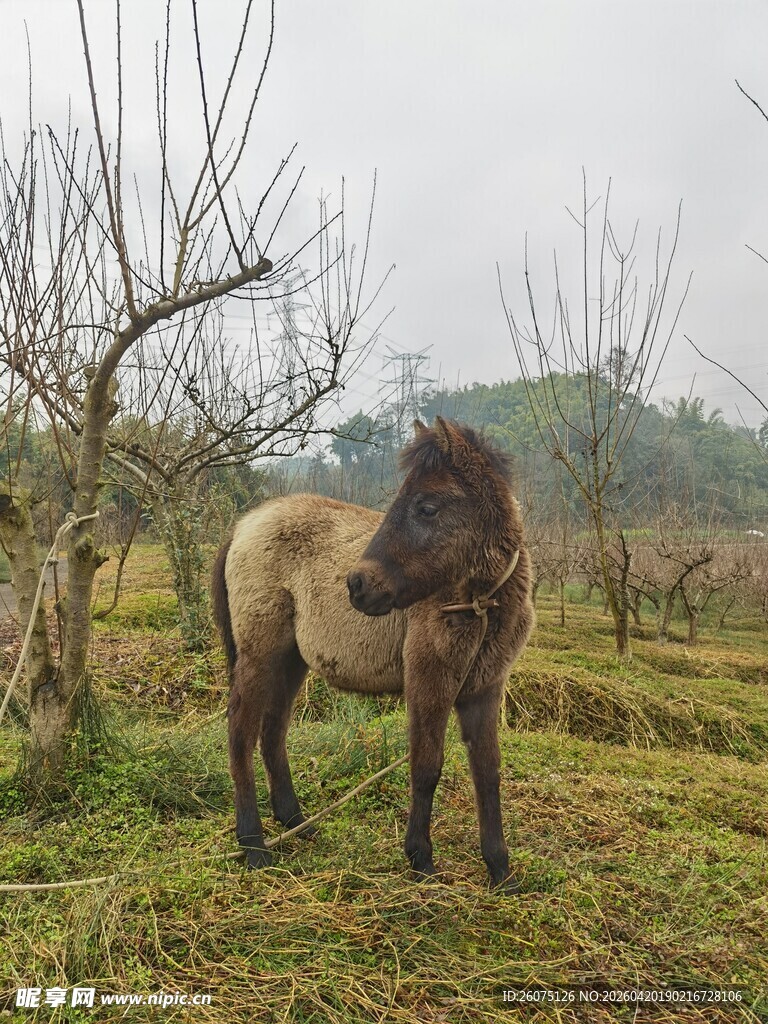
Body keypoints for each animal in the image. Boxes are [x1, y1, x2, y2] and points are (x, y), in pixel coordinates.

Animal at [212, 417, 535, 890]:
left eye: (427, 507)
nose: (358, 585)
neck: (478, 606)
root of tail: (243, 525)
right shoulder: (428, 682)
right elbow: (427, 766)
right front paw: (420, 858)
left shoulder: (484, 688)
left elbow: (488, 771)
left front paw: (500, 869)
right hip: (259, 655)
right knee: (240, 732)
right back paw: (253, 843)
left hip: (291, 661)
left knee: (273, 732)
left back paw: (295, 821)